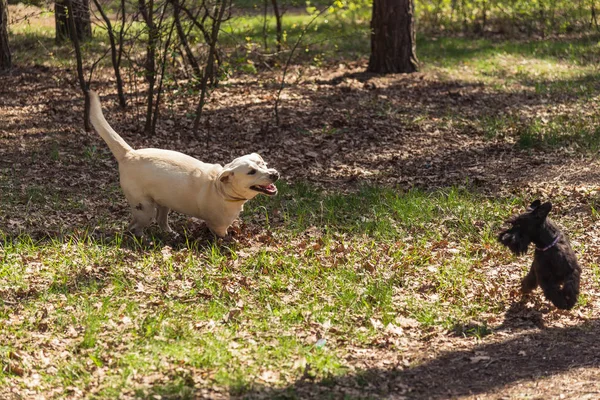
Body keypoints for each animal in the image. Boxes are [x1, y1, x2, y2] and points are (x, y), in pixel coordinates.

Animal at [88, 91, 280, 238]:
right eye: (251, 172)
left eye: (263, 163)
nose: (275, 174)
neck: (220, 188)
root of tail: (129, 153)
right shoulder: (218, 227)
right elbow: (223, 237)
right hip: (145, 208)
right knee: (136, 226)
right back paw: (143, 239)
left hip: (163, 203)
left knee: (154, 221)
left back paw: (170, 234)